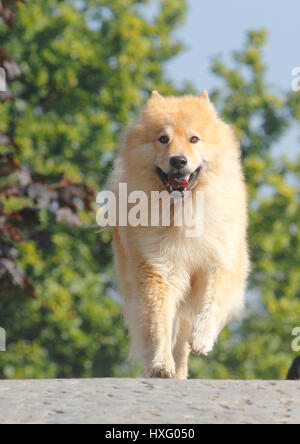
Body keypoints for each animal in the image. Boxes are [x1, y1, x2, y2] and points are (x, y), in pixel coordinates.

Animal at [105, 92, 248, 380]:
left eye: (194, 139)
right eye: (163, 139)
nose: (178, 161)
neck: (183, 209)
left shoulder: (221, 263)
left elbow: (213, 302)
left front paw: (202, 339)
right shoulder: (158, 272)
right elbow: (159, 325)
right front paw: (161, 365)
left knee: (182, 341)